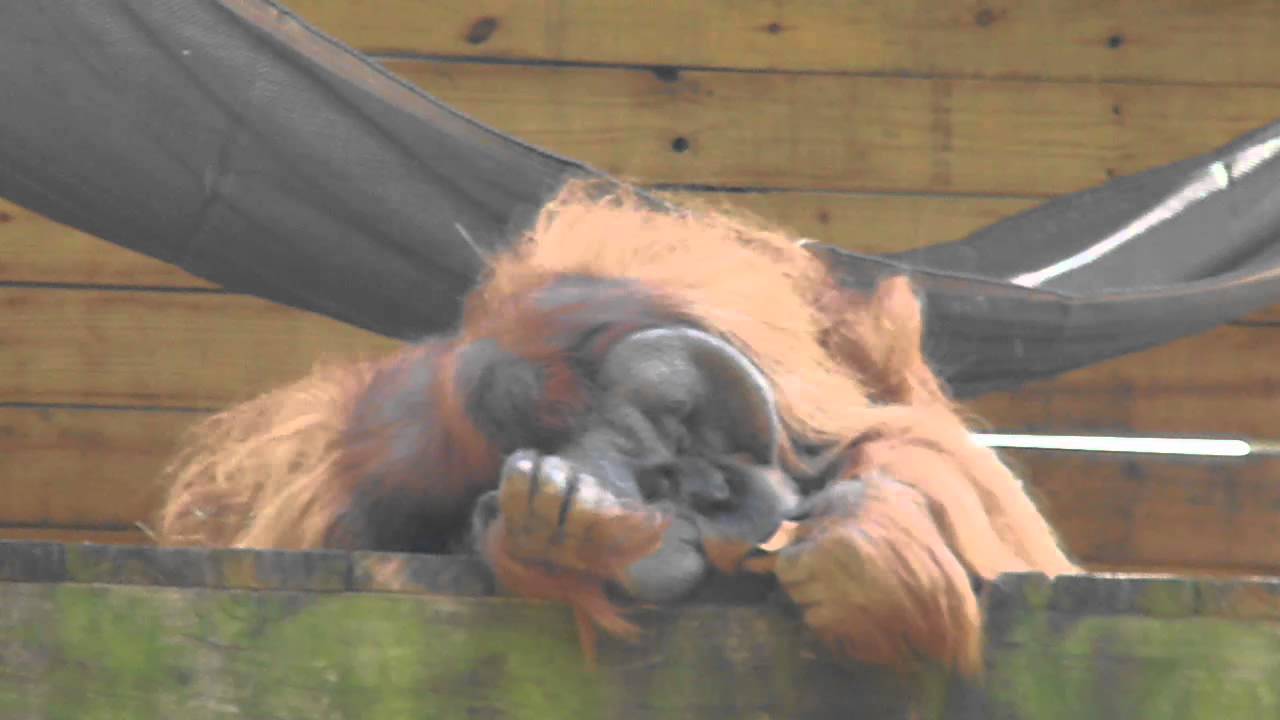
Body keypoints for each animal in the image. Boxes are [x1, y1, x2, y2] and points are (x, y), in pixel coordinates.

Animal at [156, 180, 1077, 676]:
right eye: (653, 484)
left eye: (672, 430)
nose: (711, 492)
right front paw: (555, 528)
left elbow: (909, 444)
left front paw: (869, 548)